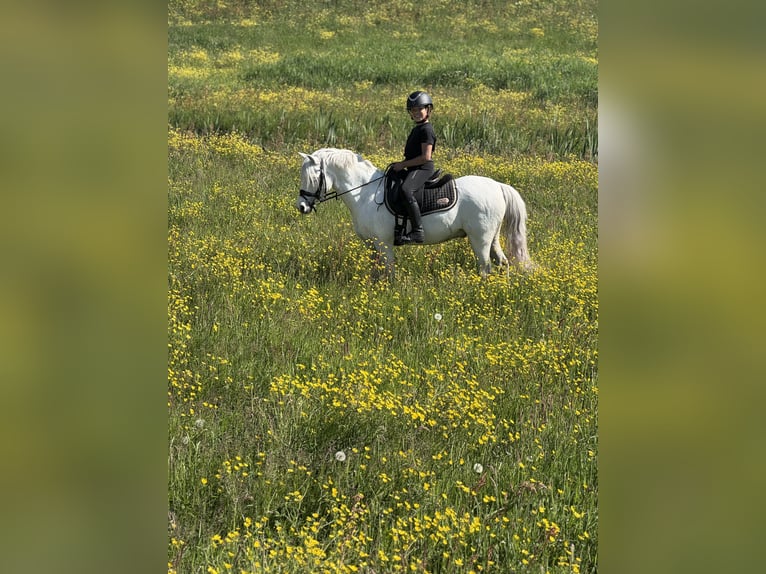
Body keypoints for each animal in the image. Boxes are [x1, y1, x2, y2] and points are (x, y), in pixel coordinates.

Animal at [295, 148, 533, 277]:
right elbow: (375, 272)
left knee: (485, 268)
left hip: (480, 239)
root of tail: (497, 186)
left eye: (312, 177)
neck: (365, 193)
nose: (301, 207)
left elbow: (389, 272)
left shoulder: (384, 243)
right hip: (492, 237)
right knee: (503, 263)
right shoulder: (372, 245)